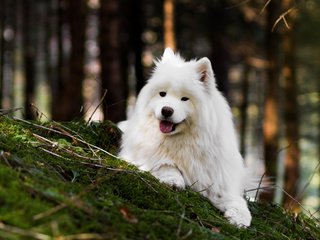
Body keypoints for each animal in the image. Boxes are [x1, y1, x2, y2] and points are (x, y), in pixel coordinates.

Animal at [117, 47, 255, 226]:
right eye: (162, 94)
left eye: (185, 99)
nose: (166, 110)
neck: (183, 140)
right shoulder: (142, 156)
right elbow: (165, 164)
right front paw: (173, 180)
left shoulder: (217, 181)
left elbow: (237, 201)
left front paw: (240, 218)